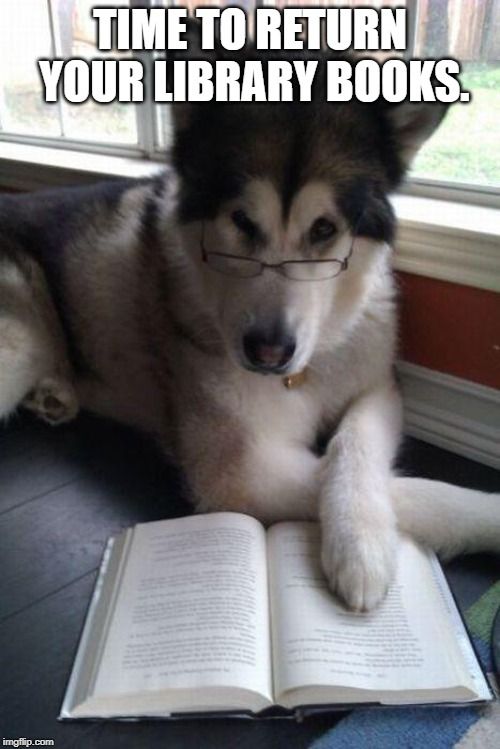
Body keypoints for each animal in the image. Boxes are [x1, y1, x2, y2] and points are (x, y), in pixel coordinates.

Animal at [0, 43, 500, 612]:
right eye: (241, 221)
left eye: (324, 228)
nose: (269, 352)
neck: (303, 374)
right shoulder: (236, 473)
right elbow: (399, 487)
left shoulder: (377, 383)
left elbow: (354, 446)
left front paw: (360, 531)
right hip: (19, 343)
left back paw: (54, 395)